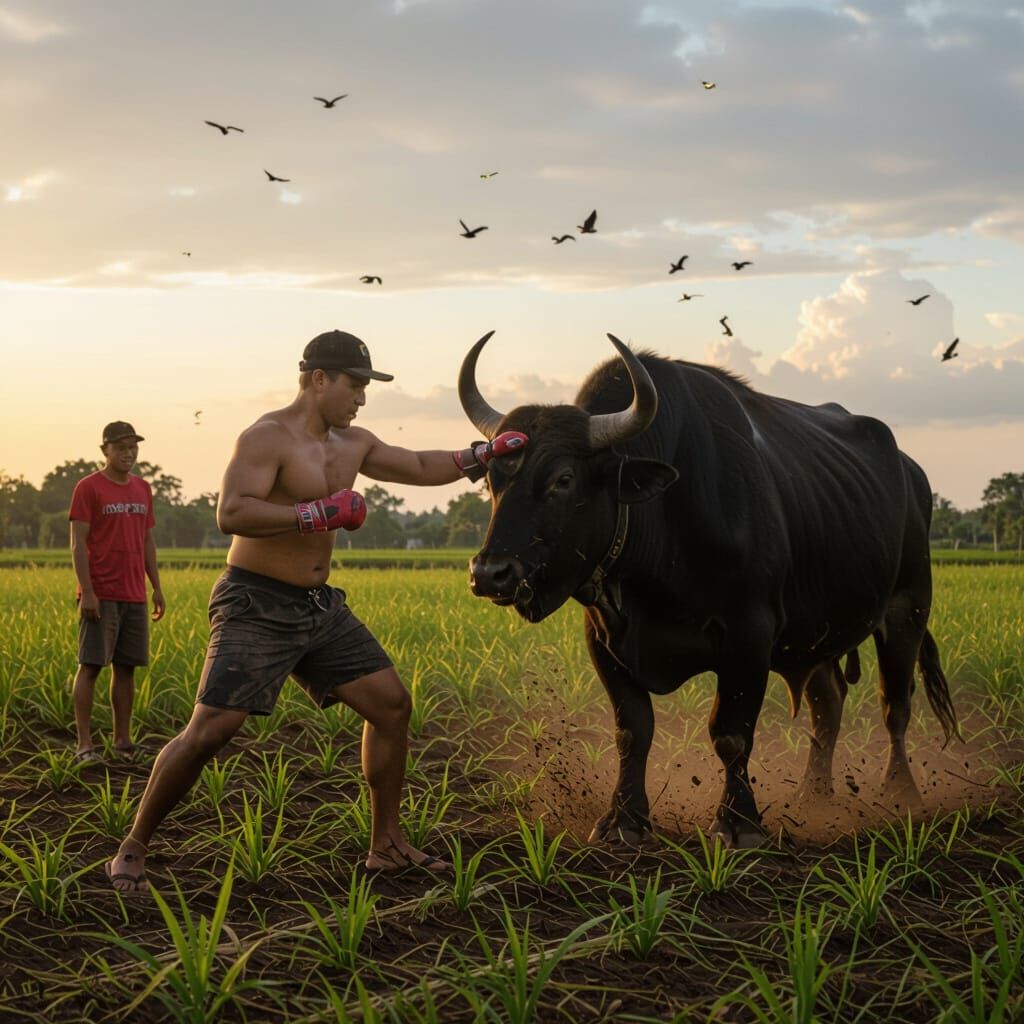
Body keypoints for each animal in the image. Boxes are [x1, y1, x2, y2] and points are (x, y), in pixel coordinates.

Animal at [460, 332, 959, 848]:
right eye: (493, 481)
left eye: (564, 478)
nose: (490, 573)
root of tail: (913, 472)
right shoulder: (602, 638)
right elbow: (632, 730)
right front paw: (624, 819)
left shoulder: (750, 635)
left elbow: (731, 732)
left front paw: (739, 823)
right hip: (816, 635)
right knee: (829, 703)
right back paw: (813, 796)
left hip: (907, 608)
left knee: (895, 706)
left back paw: (901, 793)